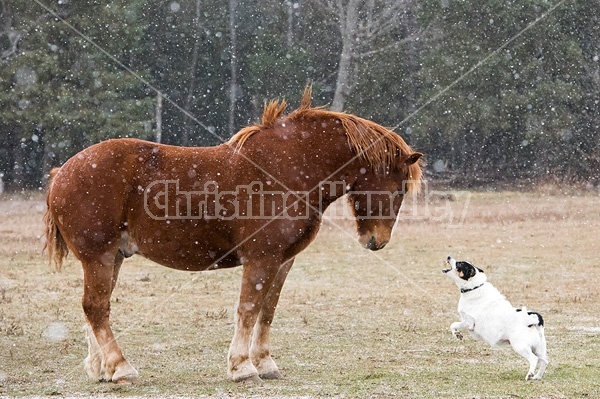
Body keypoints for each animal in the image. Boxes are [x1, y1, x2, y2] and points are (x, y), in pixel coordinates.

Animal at [44, 86, 422, 384]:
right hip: (99, 255)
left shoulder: (282, 261)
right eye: (400, 187)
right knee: (96, 307)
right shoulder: (261, 258)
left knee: (96, 308)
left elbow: (267, 309)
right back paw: (121, 368)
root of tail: (62, 172)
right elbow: (248, 308)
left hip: (113, 257)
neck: (290, 167)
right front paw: (242, 367)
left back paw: (101, 368)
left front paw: (265, 363)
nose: (377, 241)